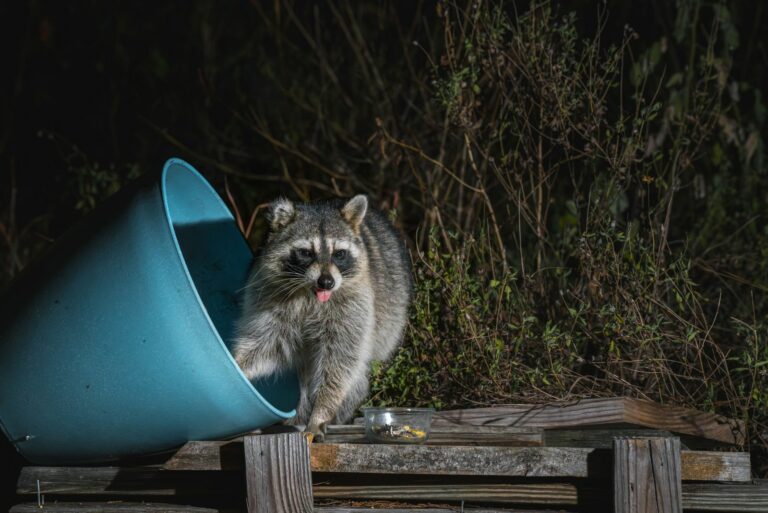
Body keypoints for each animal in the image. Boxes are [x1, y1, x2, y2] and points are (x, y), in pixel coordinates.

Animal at [232, 195, 412, 440]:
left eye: (339, 253)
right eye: (306, 252)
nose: (326, 282)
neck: (310, 294)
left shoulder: (354, 305)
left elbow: (339, 361)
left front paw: (321, 413)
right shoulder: (269, 298)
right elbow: (265, 343)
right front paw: (237, 364)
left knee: (355, 377)